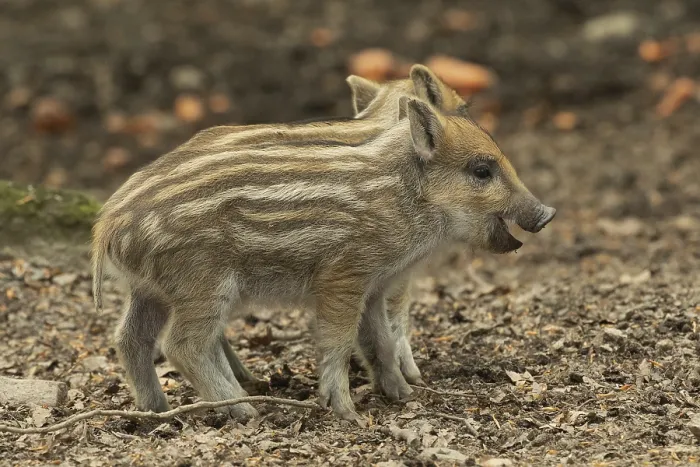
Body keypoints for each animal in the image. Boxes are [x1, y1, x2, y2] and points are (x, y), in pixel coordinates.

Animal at [91, 95, 555, 424]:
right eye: (482, 171)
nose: (547, 213)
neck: (403, 197)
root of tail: (107, 225)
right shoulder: (344, 276)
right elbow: (338, 340)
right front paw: (348, 413)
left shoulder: (375, 285)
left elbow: (379, 340)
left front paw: (403, 395)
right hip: (202, 283)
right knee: (182, 345)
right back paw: (245, 410)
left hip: (149, 290)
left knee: (130, 338)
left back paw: (155, 413)